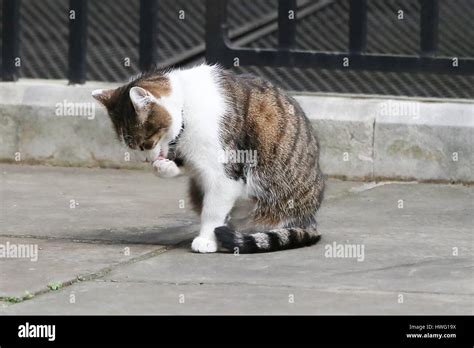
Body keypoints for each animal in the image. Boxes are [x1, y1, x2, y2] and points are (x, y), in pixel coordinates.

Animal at [91, 64, 324, 253]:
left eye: (144, 144)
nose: (146, 161)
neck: (186, 106)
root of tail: (309, 219)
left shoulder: (224, 173)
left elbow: (212, 211)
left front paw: (206, 239)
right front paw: (165, 167)